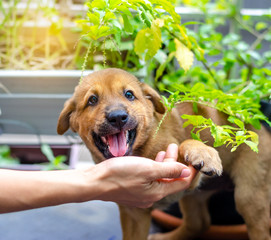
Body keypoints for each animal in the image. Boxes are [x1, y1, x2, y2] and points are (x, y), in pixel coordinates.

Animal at [58, 68, 271, 240]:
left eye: (129, 95)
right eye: (92, 100)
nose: (118, 117)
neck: (143, 148)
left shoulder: (189, 176)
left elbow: (185, 142)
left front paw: (203, 152)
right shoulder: (134, 214)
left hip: (250, 196)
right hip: (195, 196)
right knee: (198, 223)